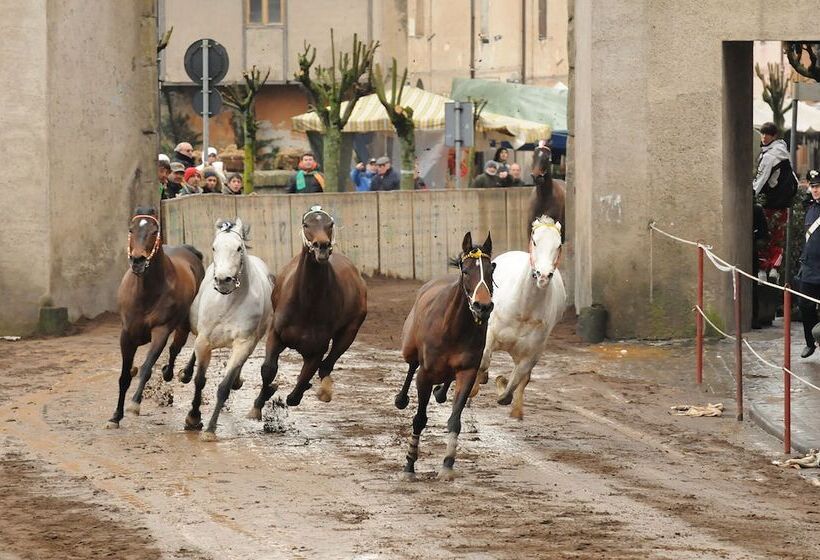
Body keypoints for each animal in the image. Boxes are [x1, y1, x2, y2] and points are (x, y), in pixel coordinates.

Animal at [107, 207, 205, 428]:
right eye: (131, 229)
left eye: (154, 231)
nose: (138, 261)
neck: (146, 292)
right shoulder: (127, 334)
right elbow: (124, 376)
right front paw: (115, 416)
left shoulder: (161, 330)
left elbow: (146, 368)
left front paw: (134, 404)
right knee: (175, 348)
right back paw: (170, 372)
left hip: (188, 322)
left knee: (186, 345)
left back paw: (184, 374)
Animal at [181, 219, 274, 442]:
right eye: (214, 247)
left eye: (238, 248)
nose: (223, 280)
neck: (229, 301)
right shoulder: (204, 340)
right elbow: (200, 380)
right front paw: (193, 418)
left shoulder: (244, 343)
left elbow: (224, 386)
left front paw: (210, 430)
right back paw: (185, 373)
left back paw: (237, 381)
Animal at [247, 205, 368, 416]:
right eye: (306, 224)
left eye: (330, 224)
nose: (322, 246)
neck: (307, 304)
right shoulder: (276, 334)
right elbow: (269, 369)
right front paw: (259, 404)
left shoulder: (317, 349)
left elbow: (302, 383)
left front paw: (295, 392)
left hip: (350, 331)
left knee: (327, 364)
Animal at [396, 232, 494, 482]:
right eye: (466, 271)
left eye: (492, 269)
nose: (483, 306)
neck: (454, 326)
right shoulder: (425, 374)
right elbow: (419, 418)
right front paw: (409, 464)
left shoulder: (468, 370)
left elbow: (455, 420)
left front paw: (448, 463)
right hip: (409, 344)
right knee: (411, 364)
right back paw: (401, 398)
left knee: (445, 380)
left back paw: (440, 392)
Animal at [474, 217, 564, 418]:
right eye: (535, 241)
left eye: (558, 245)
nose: (543, 276)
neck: (523, 311)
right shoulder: (490, 334)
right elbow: (483, 361)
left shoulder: (530, 355)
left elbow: (509, 391)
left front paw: (502, 383)